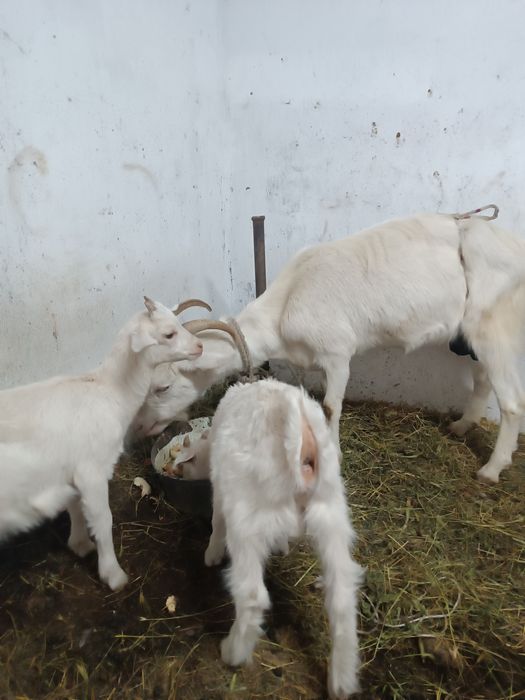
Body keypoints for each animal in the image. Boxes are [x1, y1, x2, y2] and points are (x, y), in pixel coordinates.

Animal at [0, 297, 229, 590]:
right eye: (168, 334)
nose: (200, 346)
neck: (108, 390)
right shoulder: (92, 471)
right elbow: (102, 519)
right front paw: (114, 575)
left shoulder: (72, 471)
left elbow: (75, 507)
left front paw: (80, 544)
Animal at [134, 213, 525, 483]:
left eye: (163, 386)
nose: (143, 428)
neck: (286, 304)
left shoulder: (338, 353)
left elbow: (330, 406)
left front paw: (332, 454)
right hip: (474, 335)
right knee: (483, 381)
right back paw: (461, 427)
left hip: (494, 328)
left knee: (512, 403)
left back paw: (491, 469)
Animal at [203, 378, 363, 699]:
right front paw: (282, 546)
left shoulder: (220, 490)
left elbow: (216, 520)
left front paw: (211, 555)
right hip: (331, 515)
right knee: (342, 597)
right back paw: (340, 681)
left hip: (248, 522)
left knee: (252, 596)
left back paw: (232, 652)